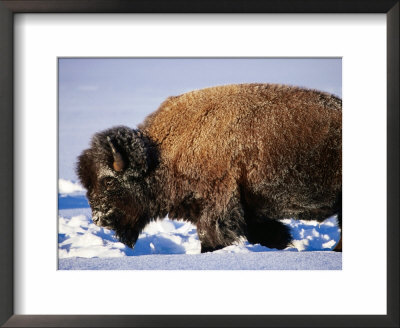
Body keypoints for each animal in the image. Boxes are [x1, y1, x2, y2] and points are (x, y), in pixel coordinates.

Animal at [76, 83, 342, 252]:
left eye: (108, 181)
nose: (99, 219)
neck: (160, 154)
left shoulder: (217, 208)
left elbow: (210, 240)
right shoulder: (250, 213)